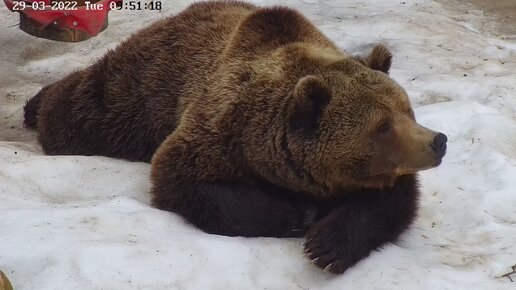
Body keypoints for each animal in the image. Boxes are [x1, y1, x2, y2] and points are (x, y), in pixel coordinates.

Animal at [24, 0, 446, 274]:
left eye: (406, 110)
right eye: (382, 126)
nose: (437, 141)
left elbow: (390, 201)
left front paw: (327, 245)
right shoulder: (222, 132)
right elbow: (184, 179)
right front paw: (296, 216)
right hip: (140, 91)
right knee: (81, 111)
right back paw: (36, 105)